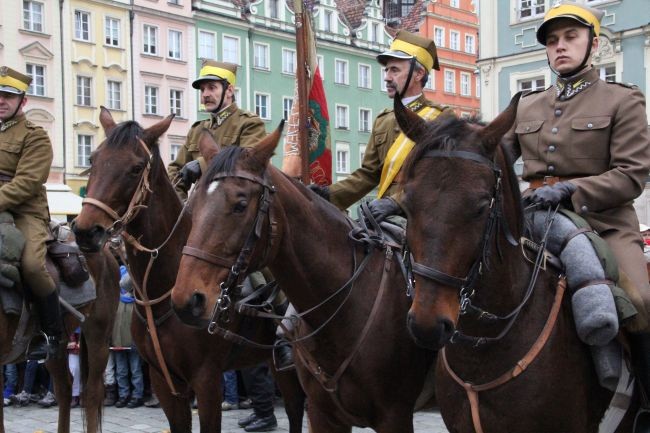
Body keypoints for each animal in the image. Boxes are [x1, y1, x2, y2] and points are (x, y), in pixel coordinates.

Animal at [170, 123, 438, 430]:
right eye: (192, 208)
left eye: (240, 204)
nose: (186, 299)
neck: (344, 307)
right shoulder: (321, 413)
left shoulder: (394, 417)